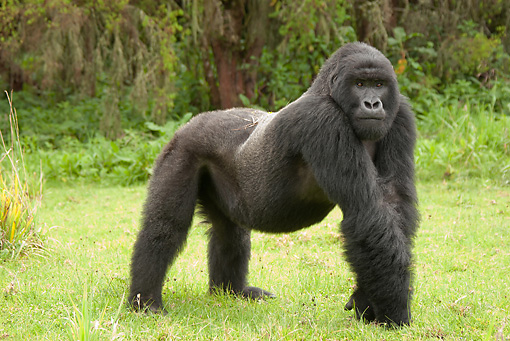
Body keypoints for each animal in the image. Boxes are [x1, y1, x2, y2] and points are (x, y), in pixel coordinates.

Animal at [127, 41, 418, 326]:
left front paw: (365, 300)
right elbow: (366, 214)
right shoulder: (323, 120)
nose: (373, 103)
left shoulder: (400, 114)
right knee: (165, 226)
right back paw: (146, 301)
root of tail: (194, 121)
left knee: (228, 232)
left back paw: (231, 291)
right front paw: (395, 312)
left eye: (378, 84)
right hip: (182, 149)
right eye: (359, 84)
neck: (328, 91)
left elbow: (393, 203)